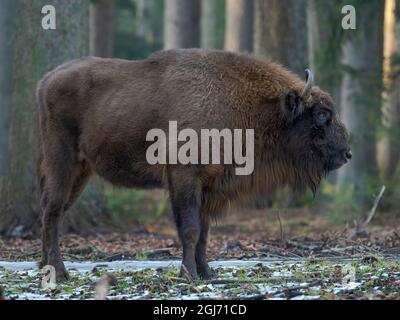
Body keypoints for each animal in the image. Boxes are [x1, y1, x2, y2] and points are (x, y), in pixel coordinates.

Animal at [36, 48, 350, 282]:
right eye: (322, 114)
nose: (347, 153)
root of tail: (47, 79)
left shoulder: (209, 186)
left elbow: (204, 232)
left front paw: (206, 273)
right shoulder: (184, 176)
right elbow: (190, 229)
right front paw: (187, 275)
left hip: (81, 171)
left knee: (51, 211)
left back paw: (44, 268)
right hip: (62, 161)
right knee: (52, 211)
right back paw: (59, 273)